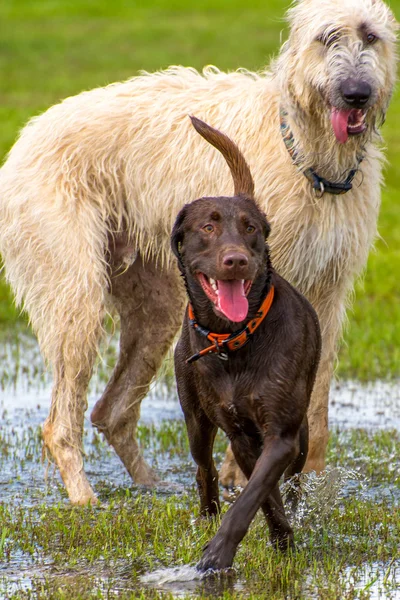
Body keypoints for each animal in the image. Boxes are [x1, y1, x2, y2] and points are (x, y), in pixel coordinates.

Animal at [0, 0, 396, 506]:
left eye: (371, 36)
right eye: (326, 38)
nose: (356, 95)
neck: (306, 153)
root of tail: (25, 137)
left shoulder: (326, 292)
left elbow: (317, 402)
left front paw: (308, 486)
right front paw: (247, 478)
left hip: (157, 306)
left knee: (111, 411)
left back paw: (154, 484)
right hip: (74, 291)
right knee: (60, 419)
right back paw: (85, 497)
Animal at [173, 118, 322, 572]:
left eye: (250, 228)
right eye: (208, 227)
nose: (236, 259)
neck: (238, 339)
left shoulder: (282, 434)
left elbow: (257, 493)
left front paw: (221, 553)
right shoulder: (240, 434)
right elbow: (261, 494)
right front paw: (277, 538)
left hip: (302, 430)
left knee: (293, 477)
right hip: (194, 417)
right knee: (204, 468)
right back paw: (206, 516)